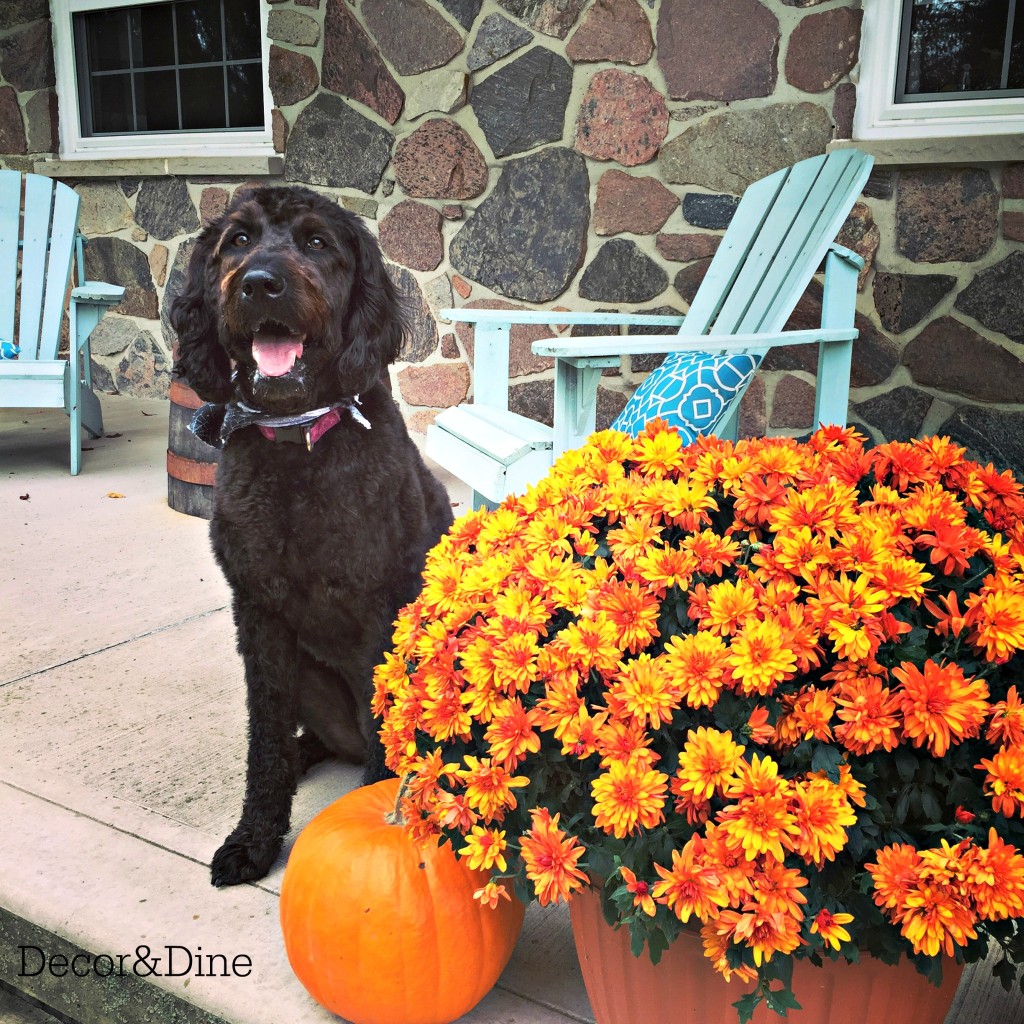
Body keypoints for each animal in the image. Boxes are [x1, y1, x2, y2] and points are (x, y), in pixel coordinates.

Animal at [171, 186, 452, 888]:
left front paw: (384, 804)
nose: (259, 284)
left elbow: (387, 718)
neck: (297, 445)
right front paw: (254, 836)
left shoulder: (380, 603)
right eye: (238, 241)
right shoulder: (259, 615)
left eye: (317, 242)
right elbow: (264, 736)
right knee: (306, 736)